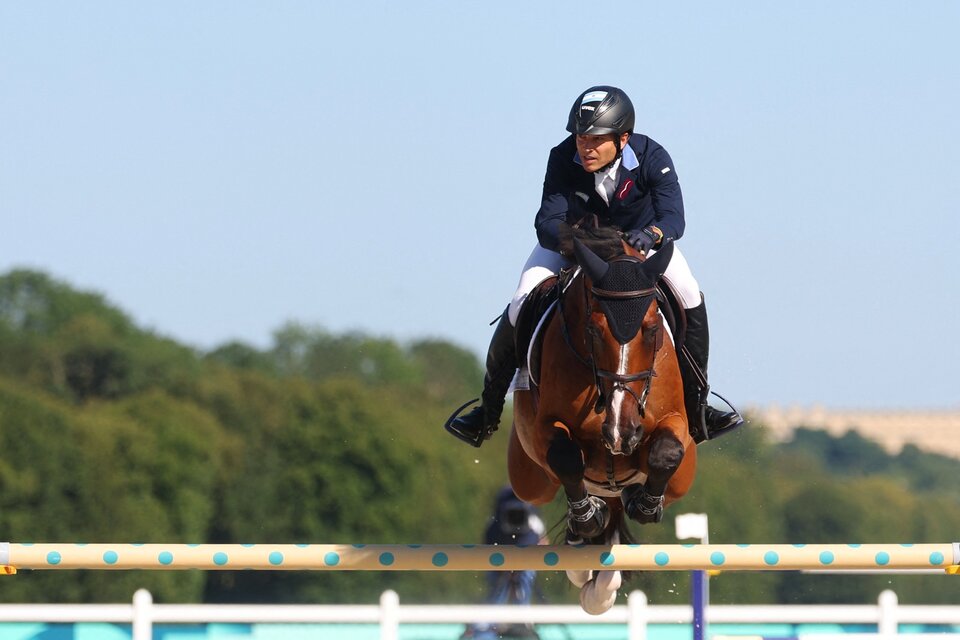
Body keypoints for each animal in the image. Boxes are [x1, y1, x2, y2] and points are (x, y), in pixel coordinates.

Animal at [506, 222, 692, 612]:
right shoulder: (546, 427)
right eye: (593, 330)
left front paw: (646, 505)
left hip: (680, 479)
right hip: (529, 480)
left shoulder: (677, 422)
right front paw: (587, 518)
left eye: (652, 329)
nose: (621, 432)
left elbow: (667, 451)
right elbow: (566, 455)